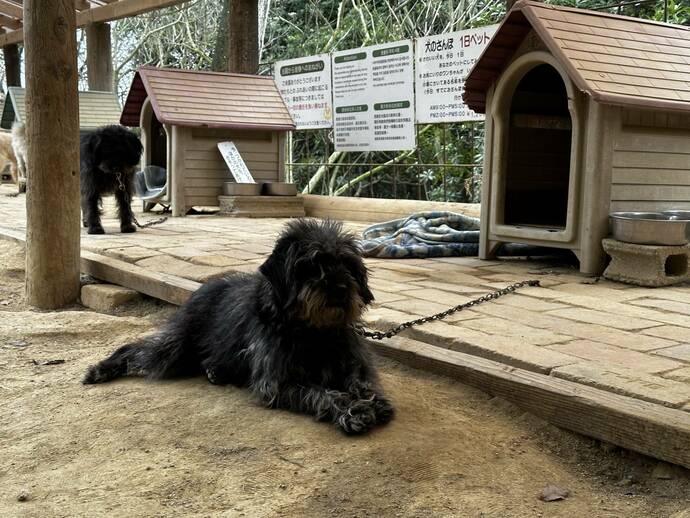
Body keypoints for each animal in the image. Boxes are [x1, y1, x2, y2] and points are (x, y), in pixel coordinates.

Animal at [82, 219, 392, 434]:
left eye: (347, 264)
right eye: (311, 265)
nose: (340, 289)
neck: (315, 332)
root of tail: (204, 288)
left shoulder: (352, 362)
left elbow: (360, 381)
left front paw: (372, 400)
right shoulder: (277, 383)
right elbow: (322, 393)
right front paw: (352, 410)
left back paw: (215, 371)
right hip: (175, 348)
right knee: (135, 349)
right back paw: (101, 369)